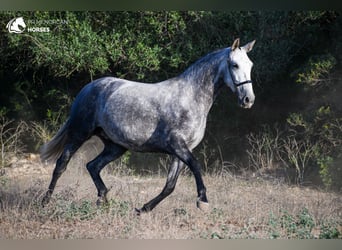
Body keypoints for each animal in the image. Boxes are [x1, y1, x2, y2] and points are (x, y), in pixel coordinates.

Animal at [40, 38, 255, 214]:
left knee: (93, 166)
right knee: (61, 164)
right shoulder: (177, 145)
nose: (248, 100)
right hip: (80, 134)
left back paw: (104, 202)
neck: (190, 98)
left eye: (250, 65)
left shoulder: (182, 151)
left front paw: (143, 209)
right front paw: (203, 201)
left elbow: (170, 186)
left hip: (115, 146)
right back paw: (45, 202)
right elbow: (196, 166)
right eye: (234, 65)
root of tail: (88, 88)